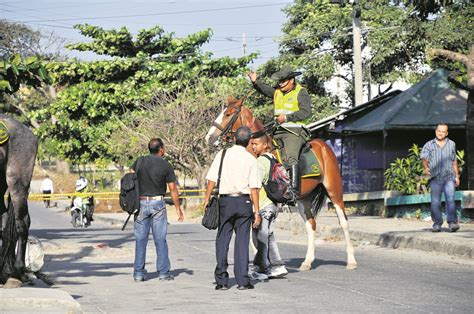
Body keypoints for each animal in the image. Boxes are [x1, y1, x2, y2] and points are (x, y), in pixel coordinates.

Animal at [206, 97, 358, 272]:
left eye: (228, 114)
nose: (209, 137)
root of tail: (324, 146)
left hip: (334, 191)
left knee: (344, 222)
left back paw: (351, 260)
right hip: (303, 199)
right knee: (311, 224)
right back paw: (307, 261)